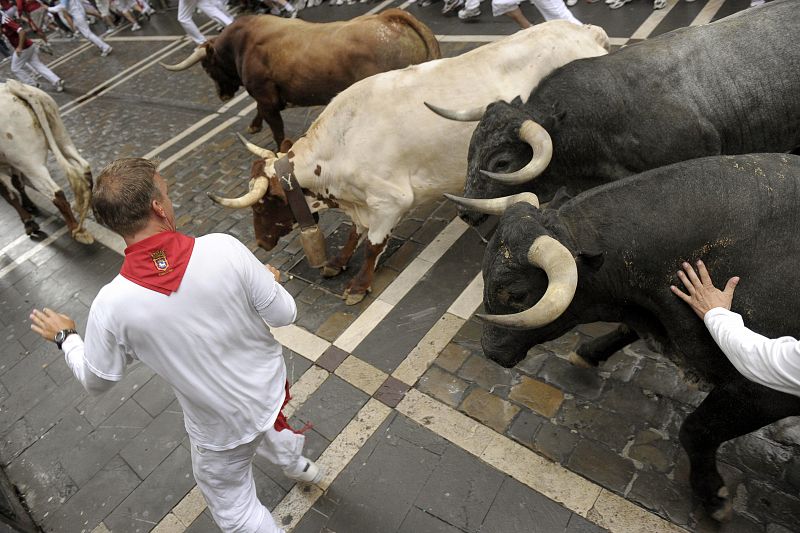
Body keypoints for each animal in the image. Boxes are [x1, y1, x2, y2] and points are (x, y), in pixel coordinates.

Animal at [0, 79, 93, 243]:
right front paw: (29, 205)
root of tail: (11, 87)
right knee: (84, 167)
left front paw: (28, 222)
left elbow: (8, 194)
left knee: (56, 193)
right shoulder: (12, 163)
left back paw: (77, 230)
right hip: (60, 134)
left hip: (30, 163)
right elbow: (17, 182)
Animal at [159, 10, 440, 147]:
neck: (242, 44)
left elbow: (277, 130)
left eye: (207, 67)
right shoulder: (269, 98)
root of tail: (389, 17)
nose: (222, 95)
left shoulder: (266, 97)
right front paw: (253, 125)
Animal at [209, 20, 608, 304]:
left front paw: (358, 285)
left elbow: (372, 243)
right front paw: (337, 262)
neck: (339, 146)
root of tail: (582, 31)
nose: (261, 244)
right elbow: (354, 232)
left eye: (263, 204)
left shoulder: (391, 200)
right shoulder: (362, 203)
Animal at [478, 153, 796, 520]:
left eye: (516, 294)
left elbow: (696, 430)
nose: (489, 349)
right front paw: (588, 352)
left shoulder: (762, 391)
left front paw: (713, 495)